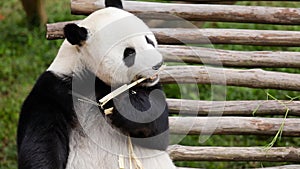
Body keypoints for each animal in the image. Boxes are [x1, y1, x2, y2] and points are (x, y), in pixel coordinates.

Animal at [16, 0, 176, 169]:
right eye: (129, 52)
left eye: (148, 40)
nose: (157, 65)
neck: (88, 75)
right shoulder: (55, 90)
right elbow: (41, 141)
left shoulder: (150, 89)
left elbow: (158, 130)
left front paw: (119, 105)